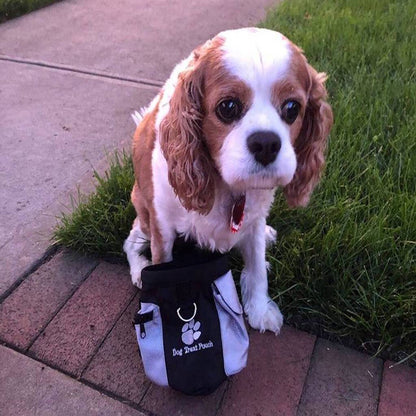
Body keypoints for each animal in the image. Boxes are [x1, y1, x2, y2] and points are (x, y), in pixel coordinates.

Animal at [122, 27, 334, 334]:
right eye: (228, 107)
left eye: (292, 108)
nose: (266, 143)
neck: (228, 186)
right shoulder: (162, 225)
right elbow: (162, 268)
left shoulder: (254, 217)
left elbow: (256, 267)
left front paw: (259, 309)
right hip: (144, 213)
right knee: (131, 240)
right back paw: (139, 269)